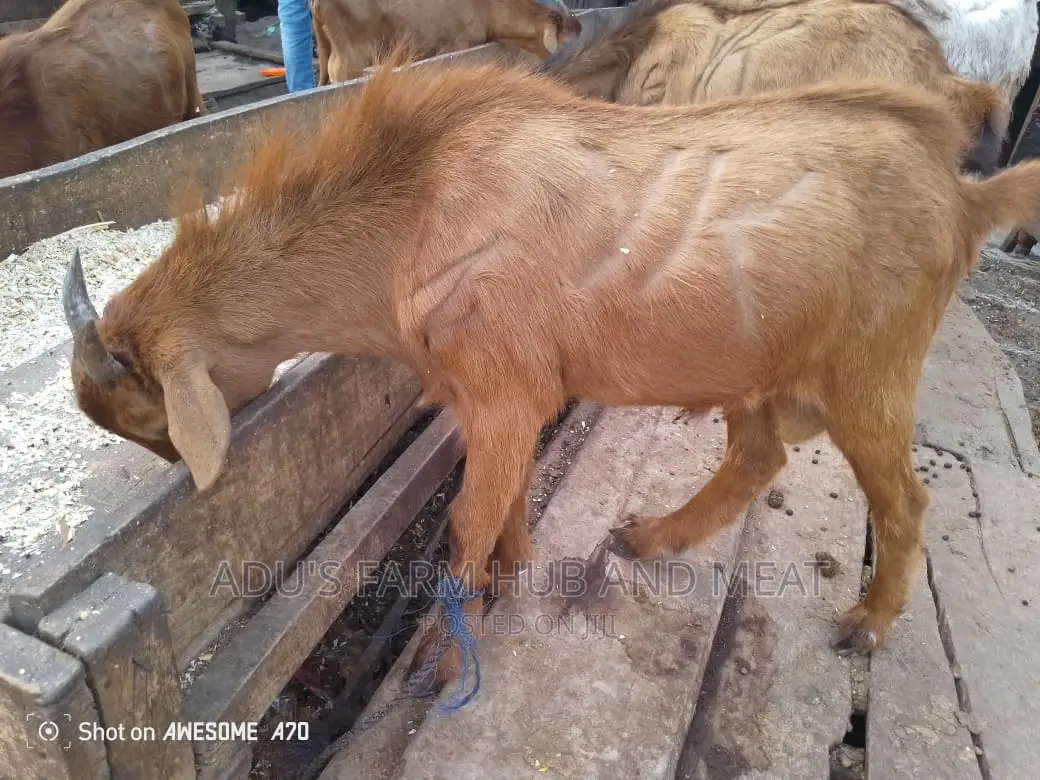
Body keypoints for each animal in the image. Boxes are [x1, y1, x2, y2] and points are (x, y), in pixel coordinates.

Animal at [62, 53, 1040, 688]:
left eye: (146, 413)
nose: (171, 471)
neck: (413, 208)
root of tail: (965, 197)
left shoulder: (502, 389)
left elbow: (463, 519)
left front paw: (447, 655)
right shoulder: (494, 398)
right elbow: (505, 498)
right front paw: (512, 576)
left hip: (871, 370)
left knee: (904, 501)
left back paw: (866, 627)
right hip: (761, 367)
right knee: (757, 457)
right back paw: (650, 539)